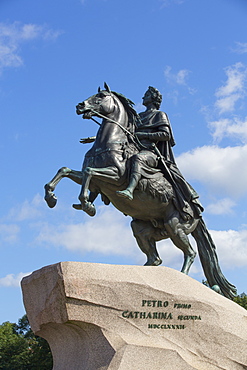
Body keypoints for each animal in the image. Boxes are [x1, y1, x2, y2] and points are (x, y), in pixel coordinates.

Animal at [44, 82, 237, 300]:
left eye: (101, 96)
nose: (79, 106)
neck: (109, 143)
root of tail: (197, 213)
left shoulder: (115, 177)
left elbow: (89, 172)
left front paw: (87, 204)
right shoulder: (96, 181)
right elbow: (66, 170)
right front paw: (51, 197)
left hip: (174, 226)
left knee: (190, 253)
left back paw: (182, 279)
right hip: (141, 228)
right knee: (155, 259)